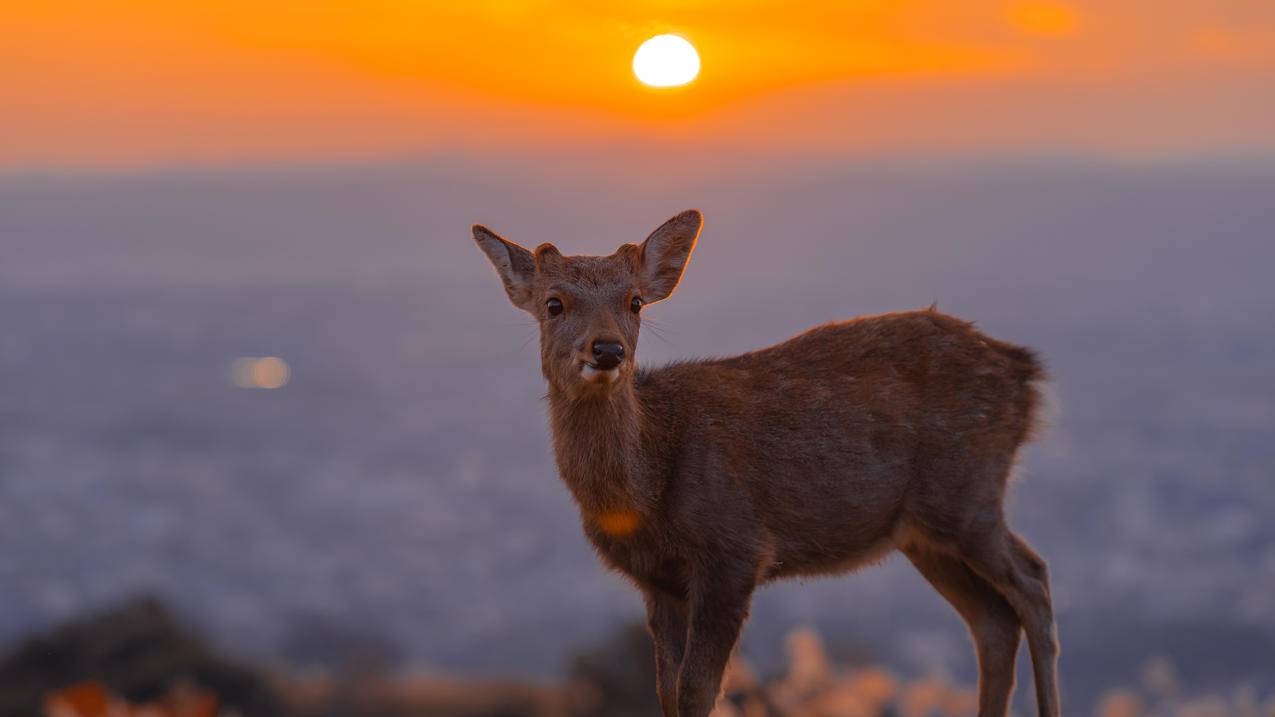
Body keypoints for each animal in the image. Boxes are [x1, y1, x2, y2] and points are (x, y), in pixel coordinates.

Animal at [474, 207, 1060, 714]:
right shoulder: (657, 581)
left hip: (966, 490)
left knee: (1033, 581)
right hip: (922, 532)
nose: (608, 349)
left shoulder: (735, 551)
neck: (647, 487)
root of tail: (1025, 375)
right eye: (554, 303)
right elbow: (666, 690)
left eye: (635, 302)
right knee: (992, 621)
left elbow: (697, 690)